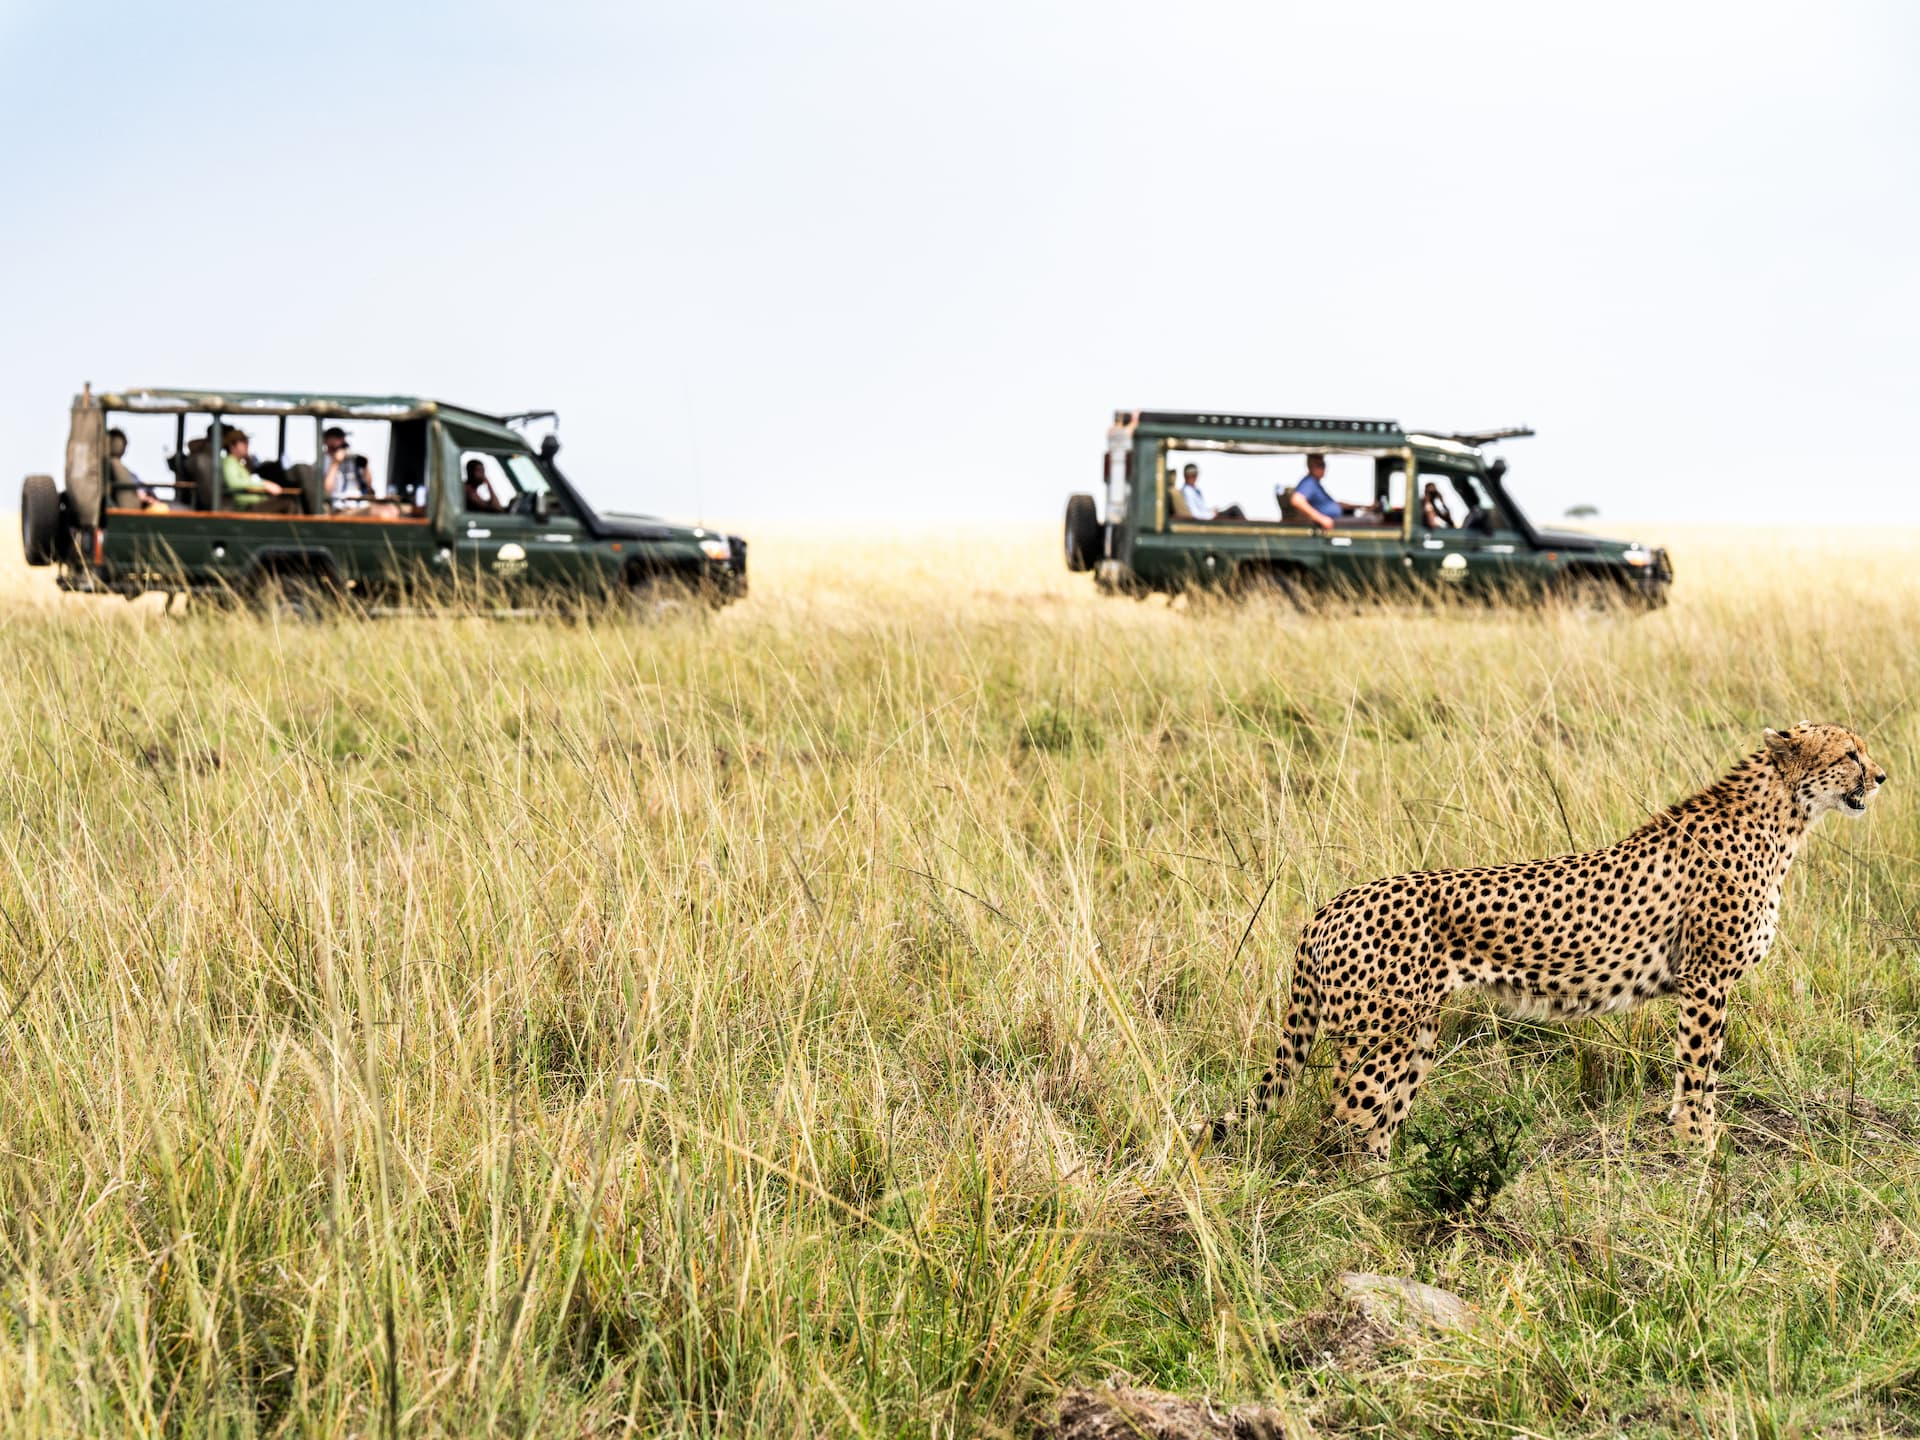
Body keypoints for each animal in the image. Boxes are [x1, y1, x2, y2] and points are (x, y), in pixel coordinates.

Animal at [1195, 723, 1887, 1161]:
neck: (1784, 817)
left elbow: (1695, 1074)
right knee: (1336, 1123)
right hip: (1378, 1040)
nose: (1880, 776)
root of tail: (1328, 905)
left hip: (1416, 1035)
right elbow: (1699, 1073)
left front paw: (1690, 1141)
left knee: (1371, 1128)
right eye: (1850, 752)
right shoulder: (1705, 982)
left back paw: (1383, 1193)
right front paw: (1699, 1148)